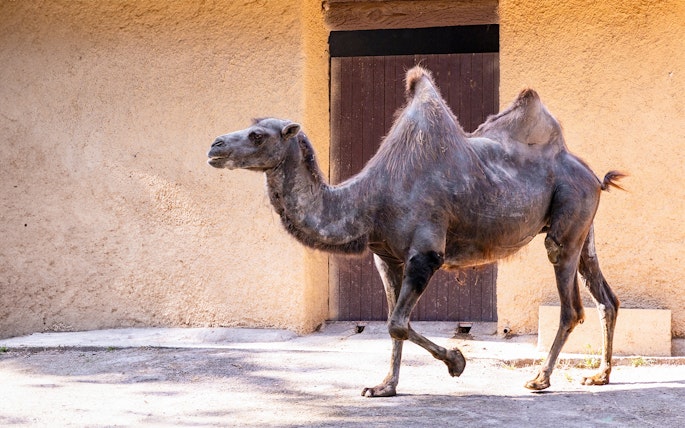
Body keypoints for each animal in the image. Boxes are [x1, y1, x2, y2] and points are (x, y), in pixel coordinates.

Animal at [207, 66, 624, 397]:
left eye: (258, 135)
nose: (214, 145)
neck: (371, 202)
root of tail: (592, 176)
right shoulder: (386, 258)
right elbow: (396, 323)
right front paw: (383, 386)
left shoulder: (426, 253)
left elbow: (396, 323)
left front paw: (456, 361)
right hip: (584, 227)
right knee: (606, 298)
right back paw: (599, 376)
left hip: (567, 220)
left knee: (571, 304)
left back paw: (540, 378)